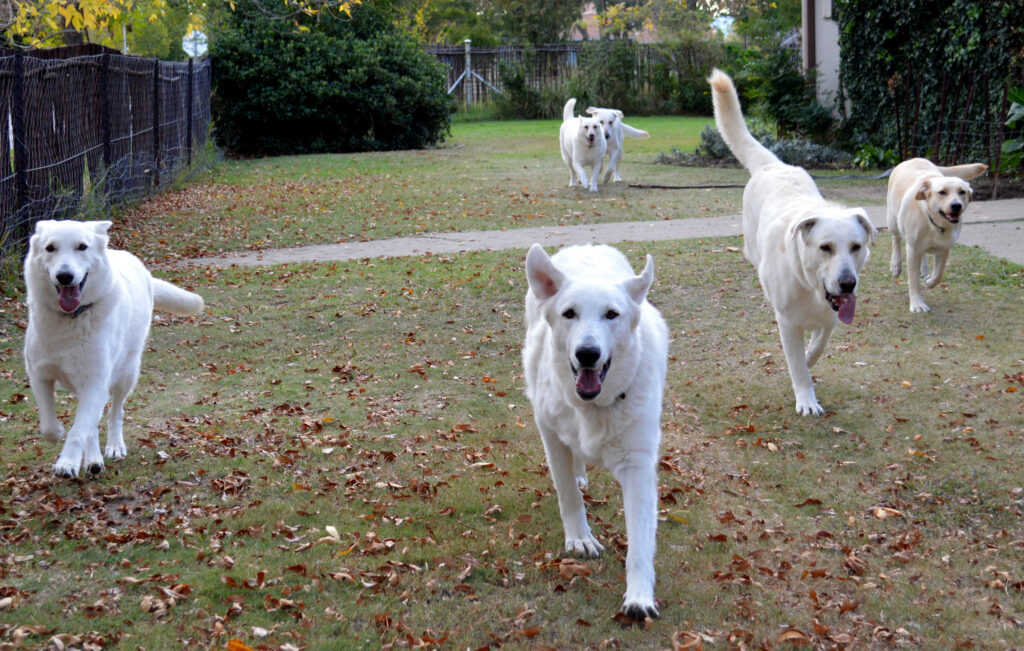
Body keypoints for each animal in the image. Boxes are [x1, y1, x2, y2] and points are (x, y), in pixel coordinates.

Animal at [23, 220, 203, 479]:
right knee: (92, 424)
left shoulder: (95, 383)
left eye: (82, 247)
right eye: (50, 248)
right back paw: (93, 459)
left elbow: (78, 431)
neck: (71, 318)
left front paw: (67, 462)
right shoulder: (40, 375)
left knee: (115, 413)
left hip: (125, 376)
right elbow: (49, 425)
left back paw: (114, 447)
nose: (65, 276)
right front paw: (58, 434)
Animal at [524, 241, 667, 618]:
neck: (593, 406)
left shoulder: (638, 464)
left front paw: (639, 595)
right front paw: (580, 538)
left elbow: (640, 541)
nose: (587, 353)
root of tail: (586, 245)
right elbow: (567, 495)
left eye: (611, 315)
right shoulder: (549, 432)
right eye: (569, 313)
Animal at [708, 70, 876, 417]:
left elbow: (818, 344)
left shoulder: (830, 317)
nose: (848, 283)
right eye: (825, 248)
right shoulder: (787, 323)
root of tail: (773, 165)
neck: (810, 286)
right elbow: (796, 362)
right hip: (753, 250)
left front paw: (811, 358)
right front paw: (806, 397)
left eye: (856, 247)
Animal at [884, 156, 987, 311]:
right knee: (895, 239)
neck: (934, 222)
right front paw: (917, 303)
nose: (956, 206)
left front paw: (929, 282)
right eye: (942, 192)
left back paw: (924, 269)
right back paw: (895, 265)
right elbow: (913, 280)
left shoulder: (944, 249)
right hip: (892, 221)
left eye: (962, 192)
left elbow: (939, 274)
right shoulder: (912, 249)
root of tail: (914, 158)